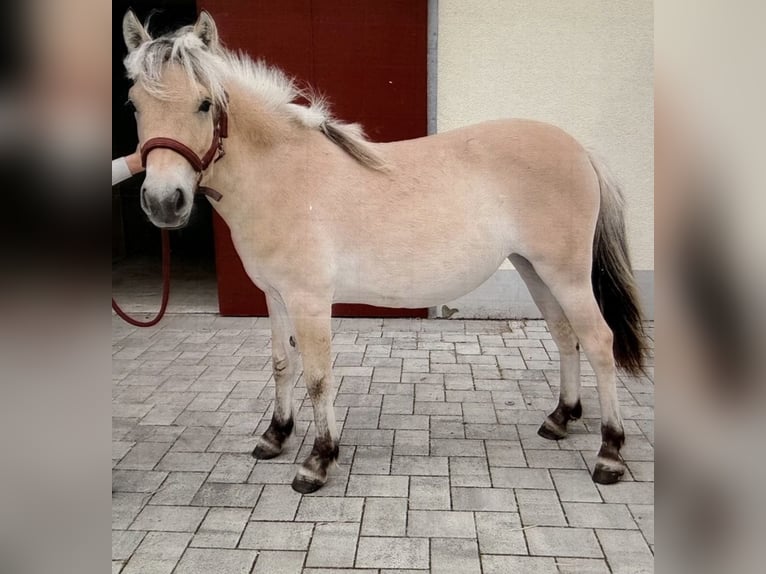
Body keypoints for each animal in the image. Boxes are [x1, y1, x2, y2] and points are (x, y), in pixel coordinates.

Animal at [121, 10, 646, 493]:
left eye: (205, 104)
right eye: (134, 105)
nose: (164, 202)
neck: (285, 175)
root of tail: (580, 150)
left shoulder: (311, 301)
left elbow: (318, 376)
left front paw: (318, 461)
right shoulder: (274, 295)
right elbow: (281, 363)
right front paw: (275, 436)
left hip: (567, 274)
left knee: (599, 342)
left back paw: (610, 453)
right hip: (534, 269)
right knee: (565, 336)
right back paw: (560, 419)